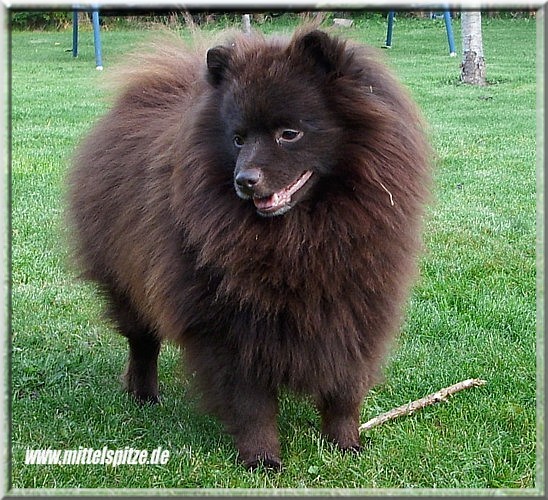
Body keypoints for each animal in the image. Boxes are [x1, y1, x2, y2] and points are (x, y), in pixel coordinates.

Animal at [66, 27, 430, 468]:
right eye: (238, 139)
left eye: (289, 133)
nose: (244, 180)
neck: (301, 238)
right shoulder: (227, 324)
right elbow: (250, 399)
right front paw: (262, 458)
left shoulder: (355, 307)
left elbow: (344, 386)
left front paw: (345, 444)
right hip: (125, 281)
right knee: (143, 341)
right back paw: (144, 394)